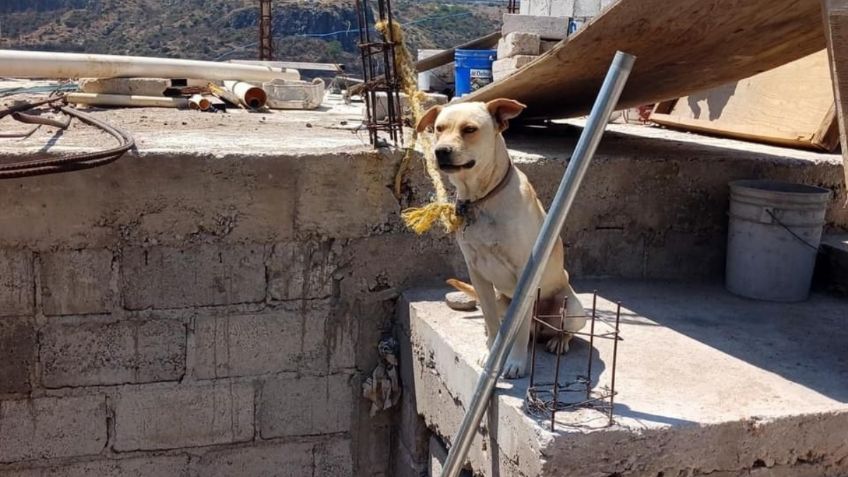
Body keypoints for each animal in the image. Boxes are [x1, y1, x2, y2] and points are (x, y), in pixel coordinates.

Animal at [414, 97, 588, 380]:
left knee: (562, 331)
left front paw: (515, 363)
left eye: (469, 129)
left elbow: (518, 334)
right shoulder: (478, 276)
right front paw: (490, 353)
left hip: (572, 308)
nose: (440, 151)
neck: (481, 199)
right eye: (438, 128)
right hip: (500, 300)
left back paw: (558, 341)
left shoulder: (524, 278)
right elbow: (492, 321)